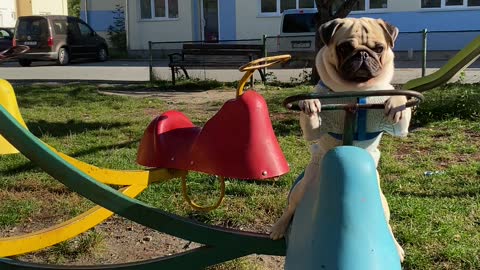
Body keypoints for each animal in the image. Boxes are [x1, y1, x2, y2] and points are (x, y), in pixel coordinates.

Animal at [270, 17, 408, 262]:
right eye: (344, 48)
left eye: (378, 49)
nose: (362, 54)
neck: (354, 92)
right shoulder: (314, 128)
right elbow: (312, 116)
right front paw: (310, 103)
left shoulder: (399, 125)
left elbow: (398, 102)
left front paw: (395, 101)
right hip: (301, 188)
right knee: (290, 209)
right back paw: (278, 227)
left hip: (383, 204)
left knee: (387, 223)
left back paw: (396, 246)